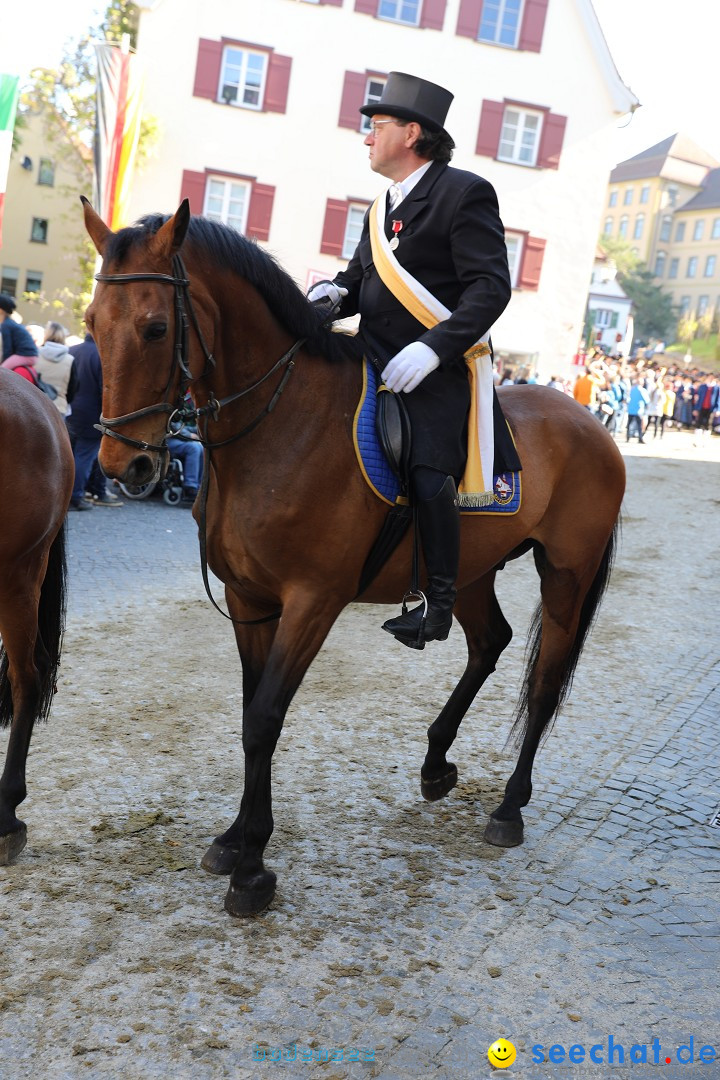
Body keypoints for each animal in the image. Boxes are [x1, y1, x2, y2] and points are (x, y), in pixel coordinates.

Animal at [83, 196, 626, 920]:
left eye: (154, 327)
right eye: (92, 322)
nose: (125, 466)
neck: (281, 425)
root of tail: (592, 424)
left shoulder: (313, 602)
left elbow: (266, 718)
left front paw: (251, 869)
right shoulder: (250, 598)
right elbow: (252, 711)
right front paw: (233, 840)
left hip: (567, 573)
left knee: (544, 681)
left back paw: (509, 807)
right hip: (471, 569)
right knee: (490, 642)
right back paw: (436, 762)